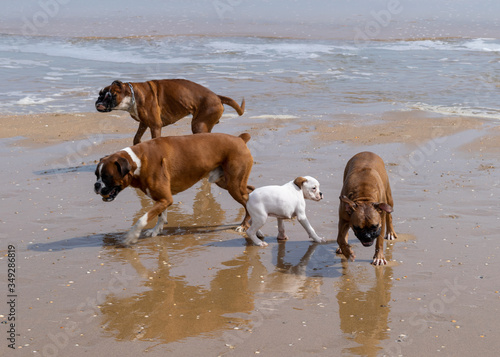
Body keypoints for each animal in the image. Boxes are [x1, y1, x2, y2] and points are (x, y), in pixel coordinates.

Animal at [94, 78, 245, 144]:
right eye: (100, 94)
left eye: (110, 95)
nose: (98, 101)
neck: (132, 96)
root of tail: (217, 96)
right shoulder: (144, 123)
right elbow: (136, 137)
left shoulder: (155, 126)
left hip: (199, 124)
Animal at [94, 132, 254, 246]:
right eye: (96, 175)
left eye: (107, 176)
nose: (96, 185)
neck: (138, 161)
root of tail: (240, 139)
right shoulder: (163, 198)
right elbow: (160, 215)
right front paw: (156, 230)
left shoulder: (165, 198)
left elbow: (142, 219)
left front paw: (131, 236)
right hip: (227, 182)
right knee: (250, 191)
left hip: (234, 185)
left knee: (247, 200)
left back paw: (244, 225)